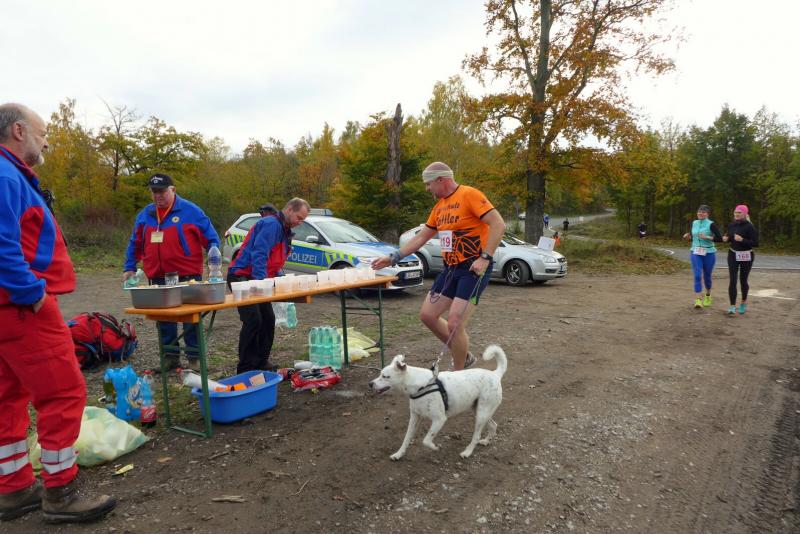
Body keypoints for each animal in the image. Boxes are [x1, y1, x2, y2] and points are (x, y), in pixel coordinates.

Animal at [369, 345, 507, 460]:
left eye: (385, 376)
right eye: (380, 374)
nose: (370, 384)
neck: (420, 385)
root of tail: (495, 374)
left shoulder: (439, 420)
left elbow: (426, 440)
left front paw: (435, 447)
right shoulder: (414, 418)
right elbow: (406, 438)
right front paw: (399, 454)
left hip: (481, 413)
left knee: (477, 435)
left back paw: (467, 452)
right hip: (480, 411)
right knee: (493, 425)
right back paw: (486, 441)